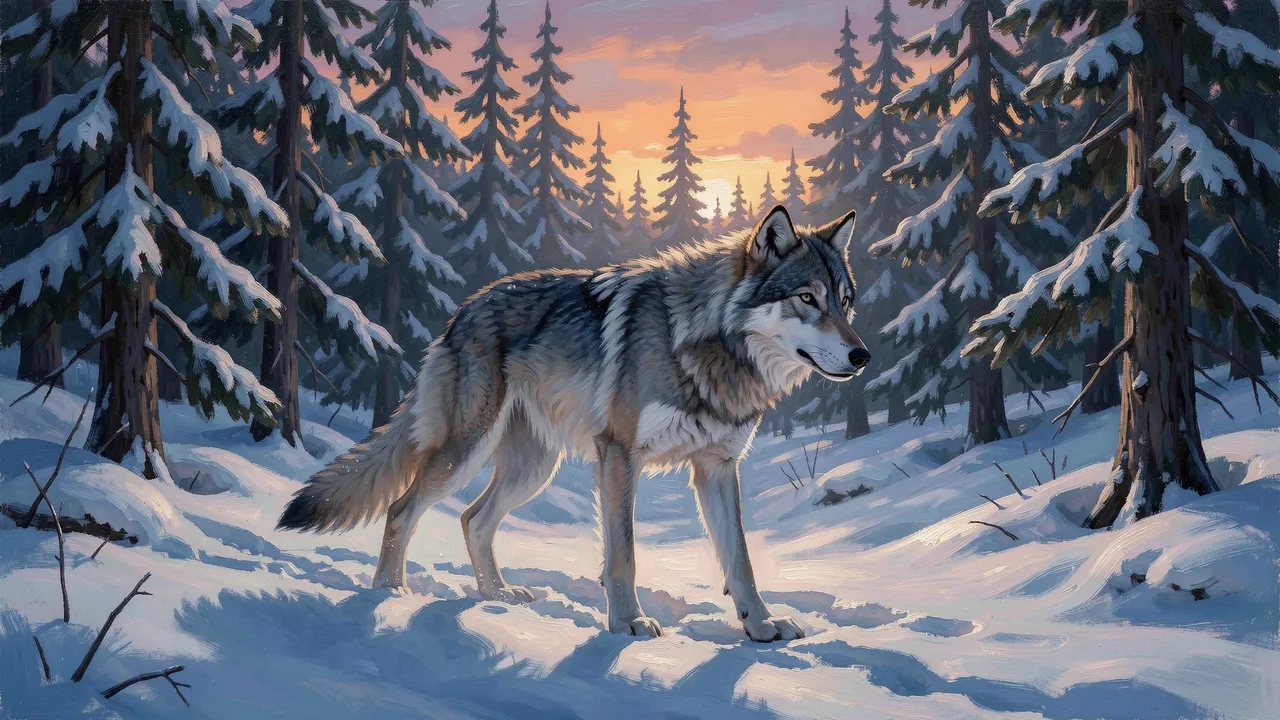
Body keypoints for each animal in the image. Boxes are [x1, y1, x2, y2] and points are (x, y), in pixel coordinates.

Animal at [278, 205, 869, 642]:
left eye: (844, 302)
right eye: (807, 298)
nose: (862, 356)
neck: (704, 346)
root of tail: (459, 313)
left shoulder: (718, 468)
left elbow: (741, 560)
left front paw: (761, 626)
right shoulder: (620, 455)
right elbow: (624, 554)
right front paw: (628, 623)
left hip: (532, 470)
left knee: (472, 519)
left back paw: (496, 597)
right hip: (466, 453)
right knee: (403, 509)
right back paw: (389, 595)